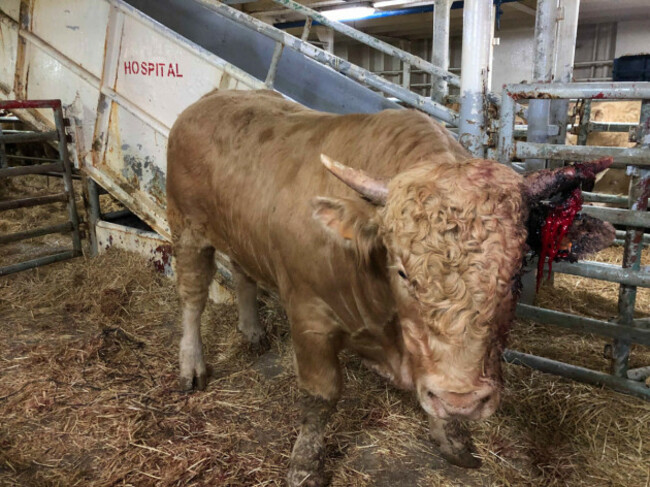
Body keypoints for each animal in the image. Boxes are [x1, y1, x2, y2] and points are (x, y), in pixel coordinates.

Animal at [166, 89, 612, 486]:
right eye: (402, 273)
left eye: (517, 271)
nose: (463, 401)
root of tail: (209, 100)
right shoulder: (310, 318)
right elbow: (320, 396)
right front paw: (305, 466)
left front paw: (452, 438)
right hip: (186, 228)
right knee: (191, 297)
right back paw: (192, 365)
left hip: (237, 233)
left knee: (242, 273)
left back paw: (253, 331)